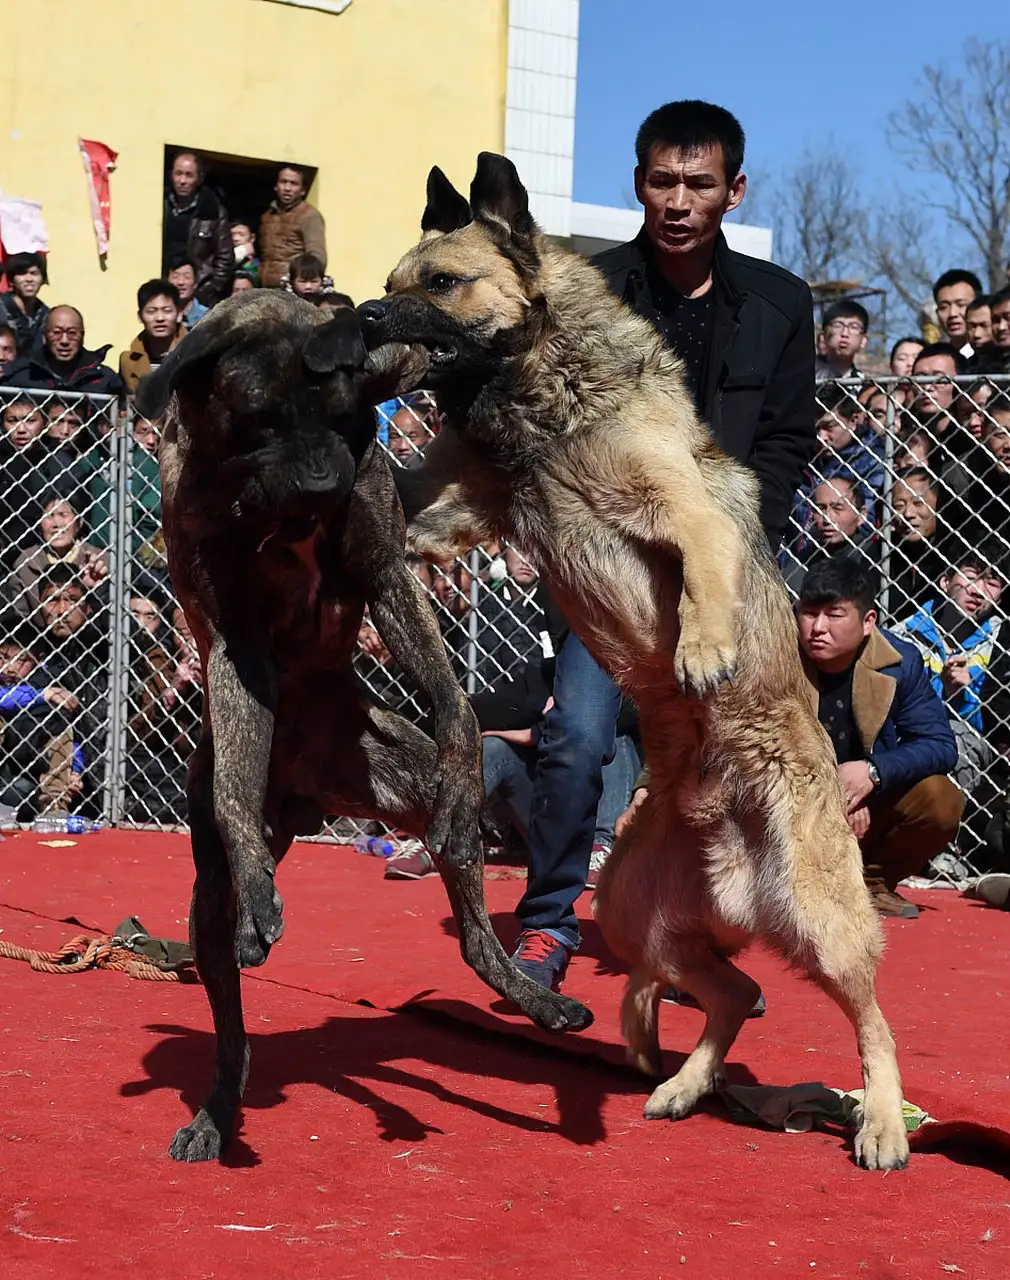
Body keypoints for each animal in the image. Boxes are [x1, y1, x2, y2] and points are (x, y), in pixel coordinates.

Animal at [137, 290, 586, 1162]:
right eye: (262, 418)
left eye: (346, 416)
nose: (322, 479)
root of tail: (308, 795)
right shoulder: (235, 638)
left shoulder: (383, 570)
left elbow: (453, 700)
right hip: (212, 895)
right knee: (230, 1009)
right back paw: (218, 1107)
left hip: (398, 779)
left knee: (474, 931)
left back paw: (535, 998)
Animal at [358, 152, 911, 1172]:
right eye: (390, 285)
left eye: (441, 284)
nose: (366, 317)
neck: (544, 399)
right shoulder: (453, 504)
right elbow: (404, 504)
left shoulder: (681, 512)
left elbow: (700, 575)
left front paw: (704, 648)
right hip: (632, 913)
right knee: (734, 993)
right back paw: (682, 1084)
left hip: (821, 919)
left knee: (871, 1021)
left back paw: (885, 1123)